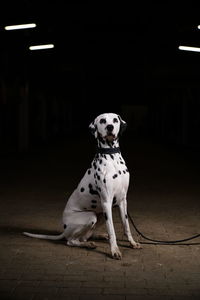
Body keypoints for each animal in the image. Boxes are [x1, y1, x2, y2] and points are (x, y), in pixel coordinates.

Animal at [23, 113, 141, 258]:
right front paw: (114, 250)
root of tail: (64, 230)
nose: (110, 127)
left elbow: (126, 226)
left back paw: (97, 237)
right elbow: (112, 230)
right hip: (91, 216)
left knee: (84, 237)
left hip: (99, 216)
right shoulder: (106, 202)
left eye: (115, 120)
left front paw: (132, 243)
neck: (112, 158)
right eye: (103, 120)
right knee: (71, 241)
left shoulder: (122, 200)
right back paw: (88, 244)